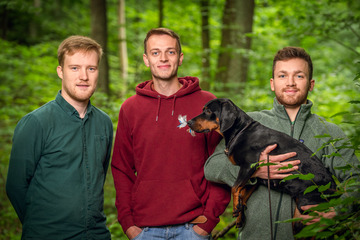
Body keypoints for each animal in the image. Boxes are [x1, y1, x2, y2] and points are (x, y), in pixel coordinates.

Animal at [187, 97, 336, 232]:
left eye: (208, 111)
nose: (188, 122)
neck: (240, 131)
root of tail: (335, 189)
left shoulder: (249, 165)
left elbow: (234, 188)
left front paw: (235, 208)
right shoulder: (256, 178)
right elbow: (242, 195)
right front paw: (240, 215)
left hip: (311, 207)